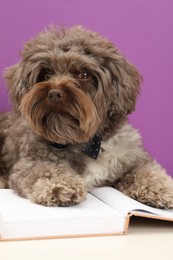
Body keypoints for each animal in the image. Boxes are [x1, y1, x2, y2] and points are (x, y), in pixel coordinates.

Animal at [0, 26, 173, 208]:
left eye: (84, 74)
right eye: (45, 74)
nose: (54, 93)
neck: (87, 143)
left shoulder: (133, 157)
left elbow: (147, 170)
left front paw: (160, 187)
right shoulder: (30, 163)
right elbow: (46, 171)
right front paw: (60, 185)